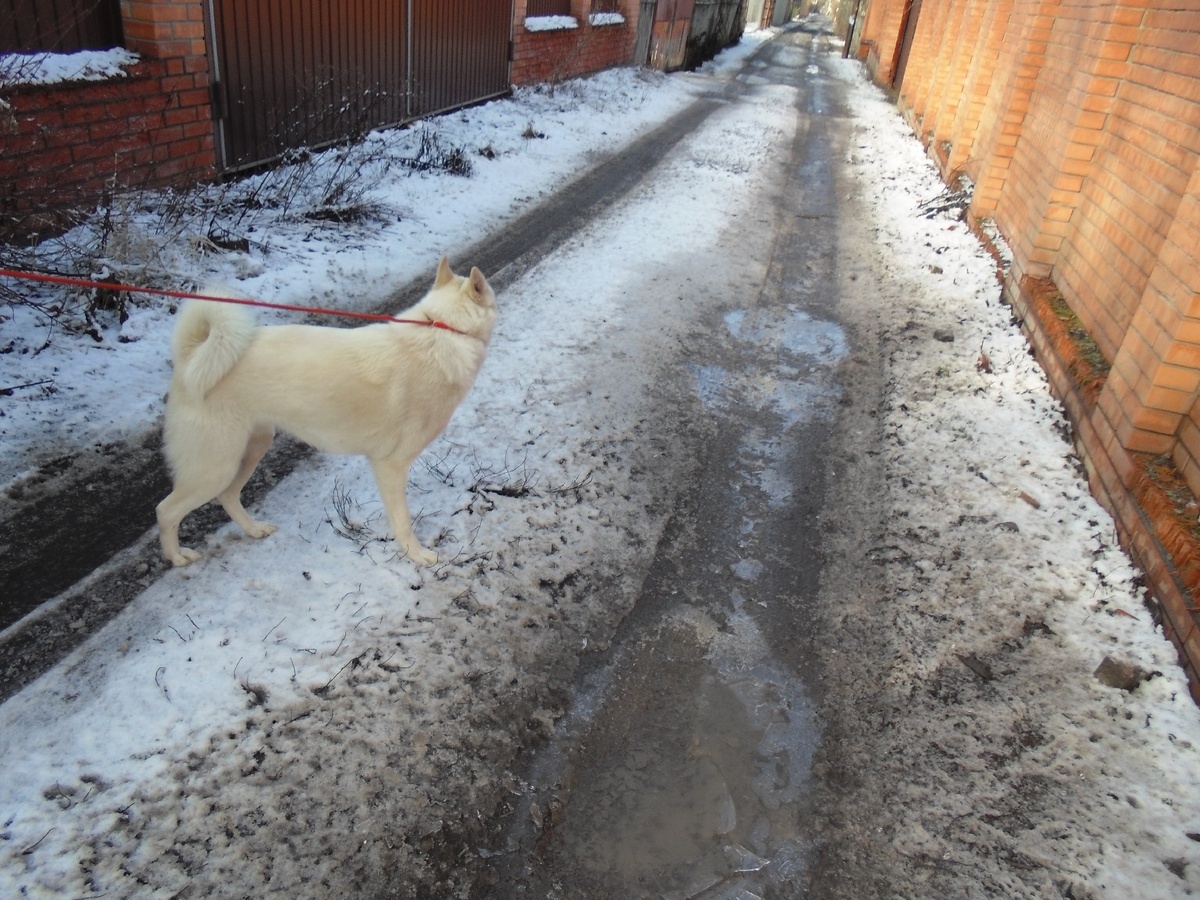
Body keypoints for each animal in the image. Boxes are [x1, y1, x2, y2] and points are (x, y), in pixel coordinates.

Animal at [157, 260, 494, 566]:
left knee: (227, 496)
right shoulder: (390, 466)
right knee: (166, 510)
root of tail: (190, 358)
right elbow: (402, 522)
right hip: (214, 467)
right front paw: (417, 555)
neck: (445, 331)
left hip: (251, 450)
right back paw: (177, 557)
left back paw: (254, 530)